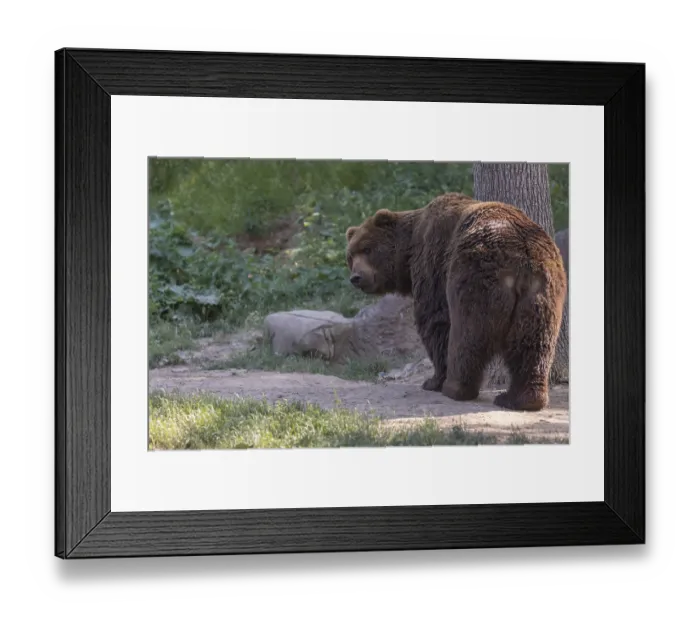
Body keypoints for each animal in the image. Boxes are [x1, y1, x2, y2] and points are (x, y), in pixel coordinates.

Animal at [345, 192, 567, 411]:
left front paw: (432, 380)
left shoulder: (432, 263)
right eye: (350, 256)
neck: (409, 253)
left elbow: (435, 320)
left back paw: (456, 388)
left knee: (467, 333)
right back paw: (520, 399)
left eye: (367, 249)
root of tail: (521, 257)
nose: (356, 277)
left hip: (474, 275)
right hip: (542, 294)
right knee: (533, 343)